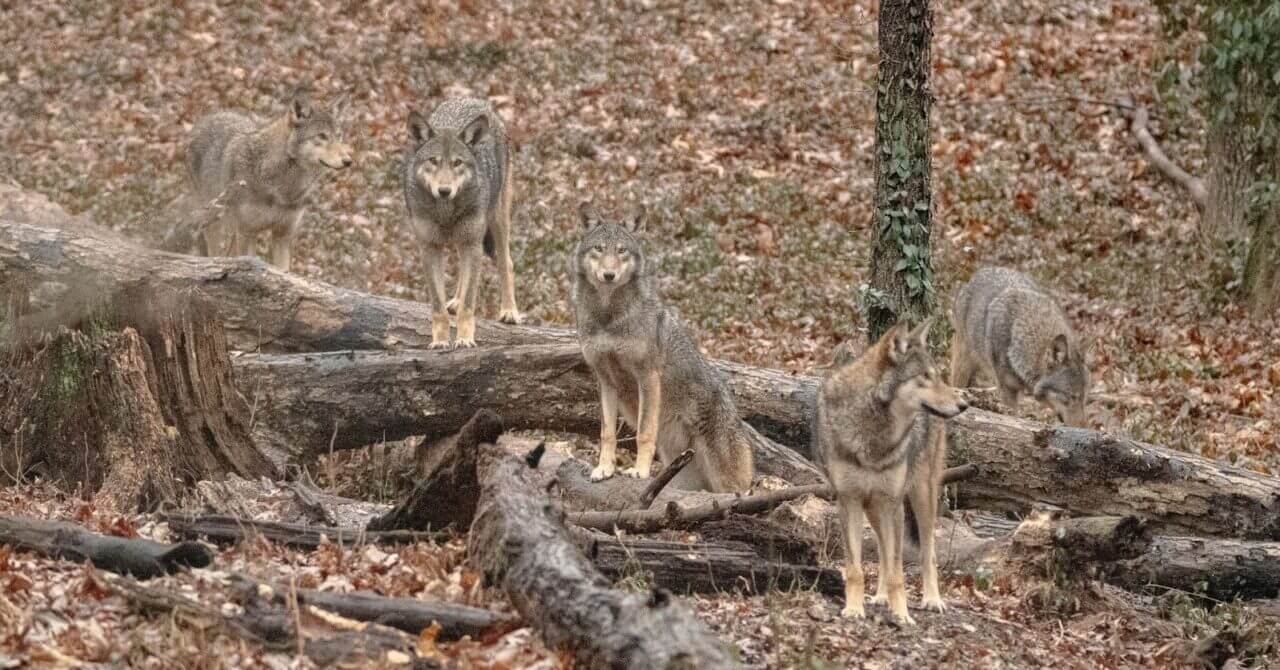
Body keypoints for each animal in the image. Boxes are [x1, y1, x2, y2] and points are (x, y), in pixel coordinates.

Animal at [185, 87, 352, 270]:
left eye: (339, 136)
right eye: (321, 136)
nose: (348, 161)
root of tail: (206, 118)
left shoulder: (282, 235)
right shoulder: (247, 232)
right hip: (214, 223)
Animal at [402, 98, 520, 349]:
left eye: (457, 163)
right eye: (433, 161)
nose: (444, 191)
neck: (445, 213)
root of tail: (475, 100)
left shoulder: (472, 244)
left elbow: (469, 304)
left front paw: (465, 340)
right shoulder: (429, 249)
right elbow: (438, 307)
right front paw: (439, 341)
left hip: (496, 220)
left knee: (506, 263)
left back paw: (509, 312)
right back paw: (454, 301)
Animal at [571, 203, 753, 493]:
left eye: (621, 250)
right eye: (599, 248)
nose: (609, 275)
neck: (608, 317)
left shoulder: (647, 376)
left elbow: (644, 433)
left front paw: (639, 472)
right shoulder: (605, 380)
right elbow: (607, 433)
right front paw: (604, 469)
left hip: (723, 476)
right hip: (681, 472)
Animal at [814, 320, 969, 624]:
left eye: (937, 376)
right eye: (925, 376)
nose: (963, 405)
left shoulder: (891, 502)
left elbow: (899, 571)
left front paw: (903, 615)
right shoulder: (849, 500)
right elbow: (856, 568)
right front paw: (854, 609)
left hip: (921, 497)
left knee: (927, 553)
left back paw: (932, 600)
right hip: (875, 507)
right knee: (884, 554)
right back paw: (881, 597)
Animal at [950, 267, 1090, 426]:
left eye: (1085, 399)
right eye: (1071, 396)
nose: (1084, 429)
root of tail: (978, 272)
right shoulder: (1007, 391)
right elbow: (1012, 418)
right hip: (962, 368)